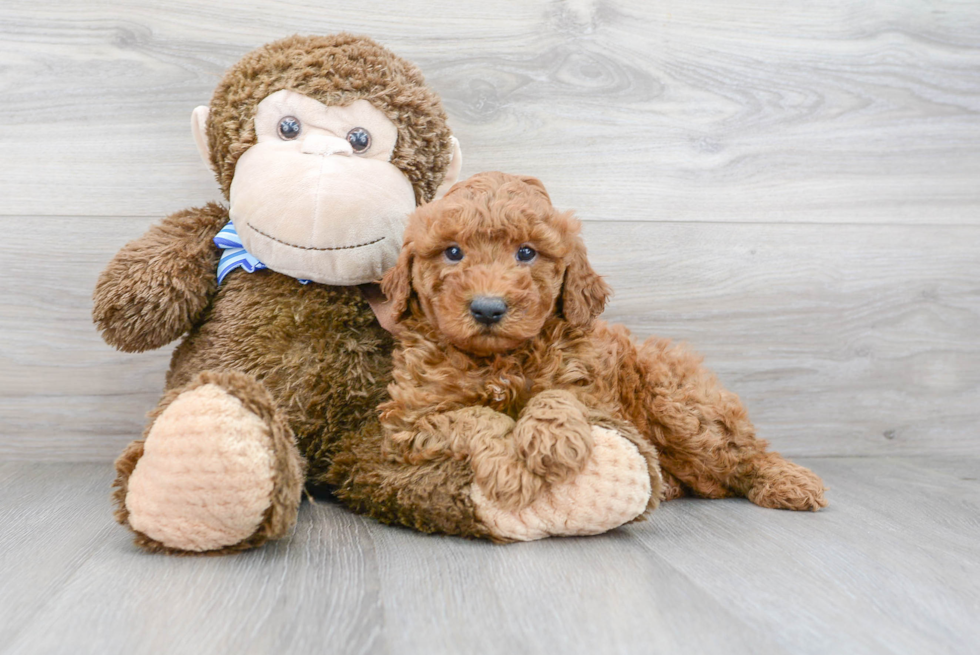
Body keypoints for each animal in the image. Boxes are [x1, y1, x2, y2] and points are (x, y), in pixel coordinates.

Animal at [378, 174, 824, 540]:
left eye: (526, 253)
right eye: (453, 252)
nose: (488, 309)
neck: (498, 360)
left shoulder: (595, 394)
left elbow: (557, 394)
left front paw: (553, 440)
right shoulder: (410, 419)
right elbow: (474, 416)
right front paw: (511, 470)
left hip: (679, 405)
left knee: (743, 452)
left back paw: (790, 482)